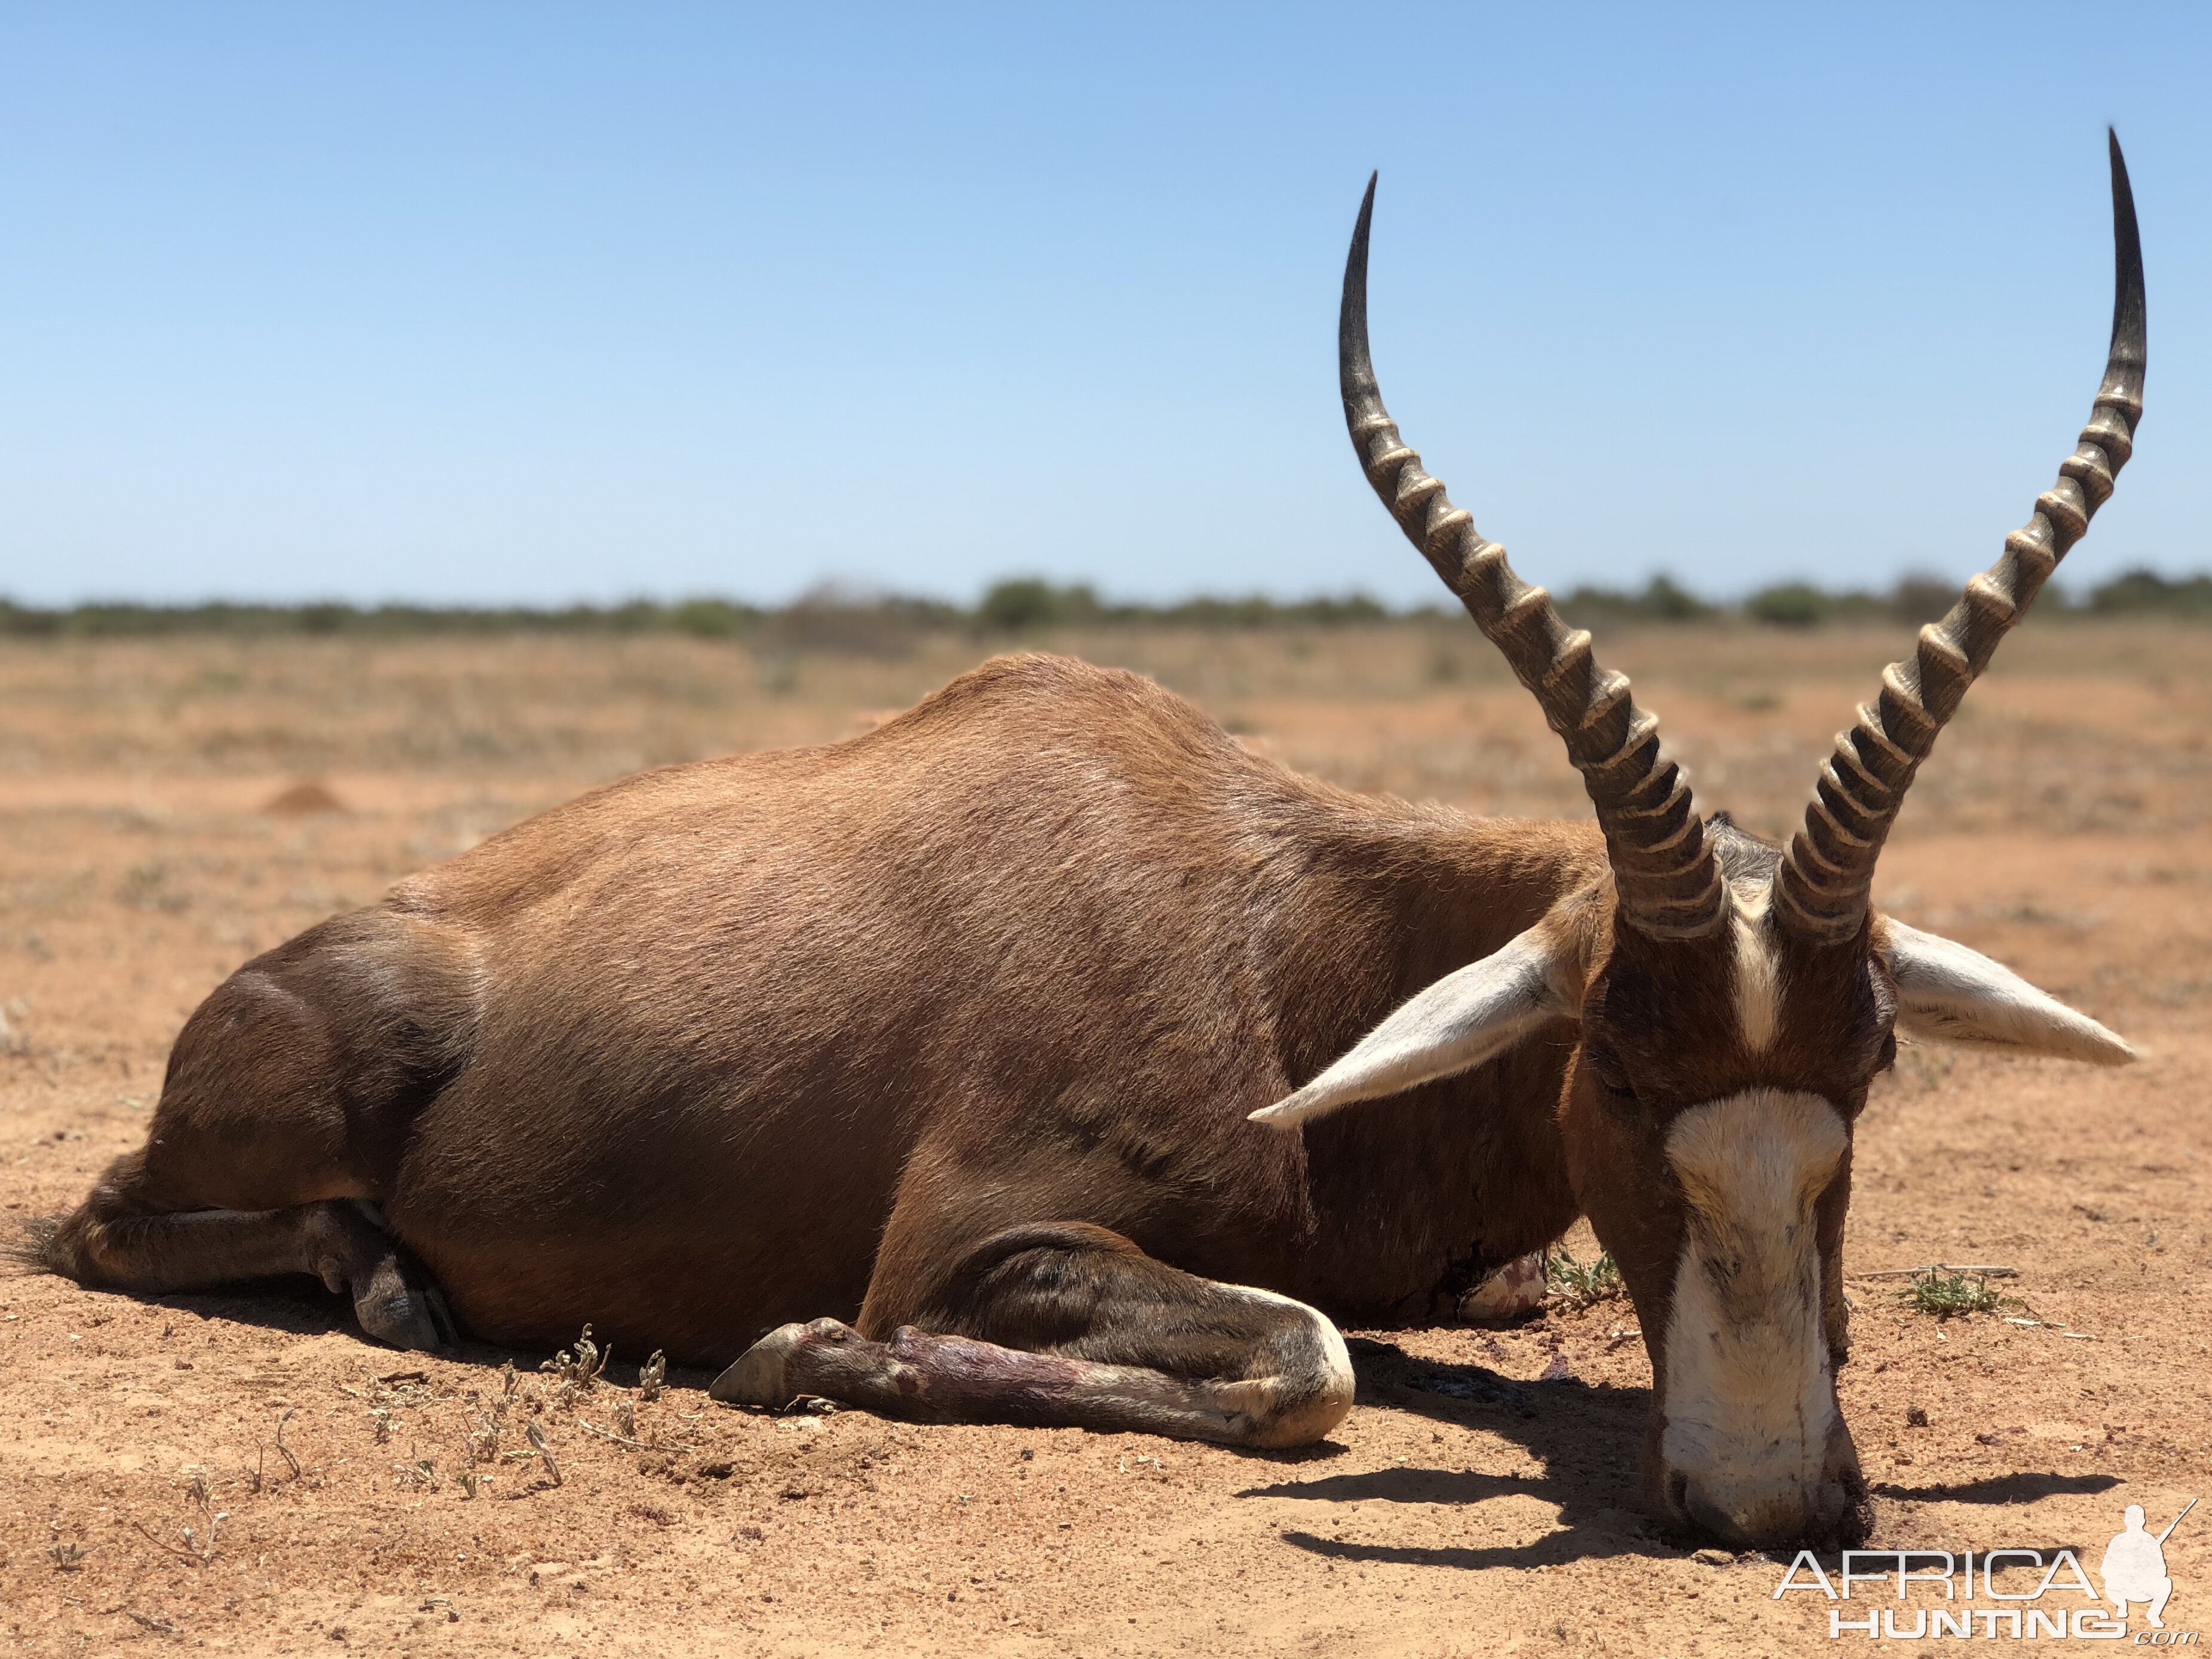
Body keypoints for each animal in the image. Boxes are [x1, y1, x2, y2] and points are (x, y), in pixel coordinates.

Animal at [34, 136, 2141, 1557]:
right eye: (1613, 1071)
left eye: (1871, 1065)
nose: (1772, 1492)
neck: (1278, 935)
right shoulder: (976, 1239)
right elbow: (1304, 1360)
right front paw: (797, 1355)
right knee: (101, 1221)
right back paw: (393, 1283)